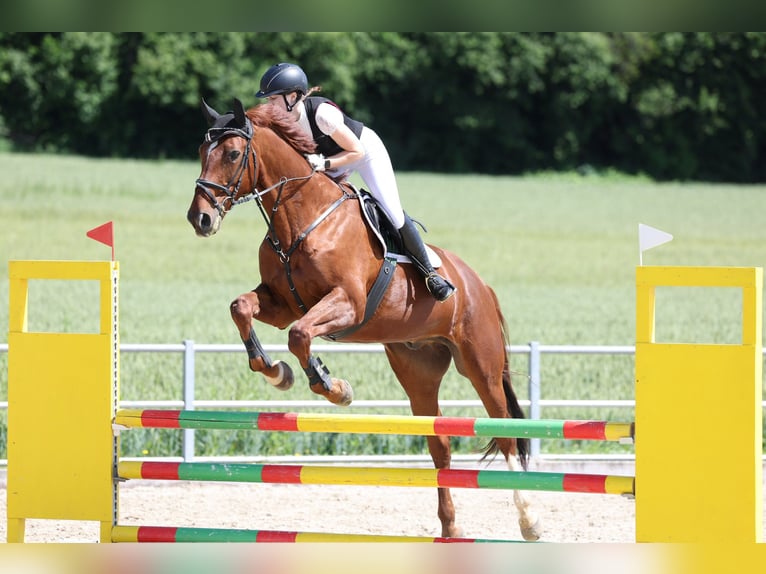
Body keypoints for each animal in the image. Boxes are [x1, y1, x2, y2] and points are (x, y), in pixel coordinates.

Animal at [186, 98, 542, 541]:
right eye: (203, 152)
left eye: (233, 154)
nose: (199, 219)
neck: (301, 217)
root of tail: (480, 284)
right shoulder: (283, 304)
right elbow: (242, 308)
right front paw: (276, 372)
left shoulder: (347, 304)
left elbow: (300, 336)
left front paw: (333, 387)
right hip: (418, 370)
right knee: (439, 447)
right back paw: (449, 527)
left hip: (482, 365)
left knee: (506, 435)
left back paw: (529, 519)